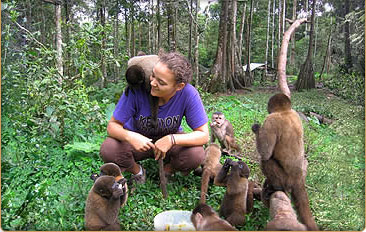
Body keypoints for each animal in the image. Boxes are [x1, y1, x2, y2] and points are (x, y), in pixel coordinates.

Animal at [252, 93, 318, 231]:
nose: (267, 109)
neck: (285, 111)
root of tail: (298, 178)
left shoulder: (270, 120)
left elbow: (265, 153)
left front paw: (256, 128)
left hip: (285, 179)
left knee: (266, 161)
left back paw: (276, 187)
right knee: (305, 160)